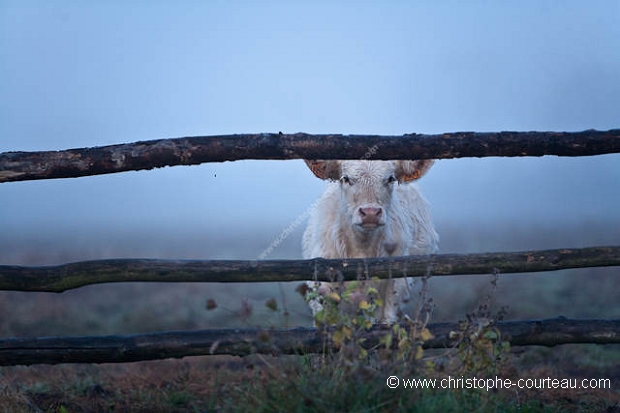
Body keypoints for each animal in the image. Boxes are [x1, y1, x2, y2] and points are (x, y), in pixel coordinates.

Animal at [302, 159, 438, 324]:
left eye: (391, 178)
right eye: (346, 178)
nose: (370, 213)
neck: (362, 247)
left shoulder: (395, 284)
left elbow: (386, 319)